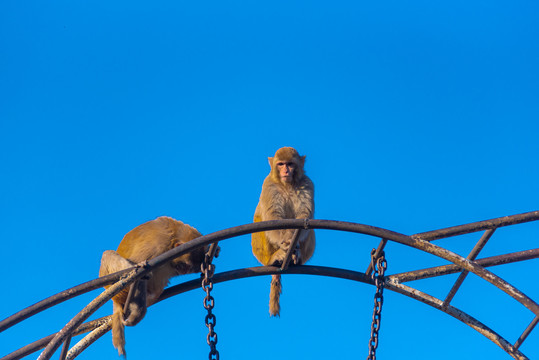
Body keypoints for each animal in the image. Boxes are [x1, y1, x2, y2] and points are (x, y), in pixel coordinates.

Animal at [98, 215, 206, 356]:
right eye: (184, 266)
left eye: (187, 269)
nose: (182, 271)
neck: (173, 237)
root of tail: (115, 299)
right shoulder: (158, 245)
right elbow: (138, 269)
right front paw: (138, 311)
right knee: (108, 255)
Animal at [252, 146, 316, 316]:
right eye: (280, 164)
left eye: (290, 164)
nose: (286, 171)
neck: (287, 184)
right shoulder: (268, 185)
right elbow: (272, 218)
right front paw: (286, 244)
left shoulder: (307, 183)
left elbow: (304, 216)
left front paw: (293, 246)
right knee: (261, 219)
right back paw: (275, 257)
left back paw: (296, 255)